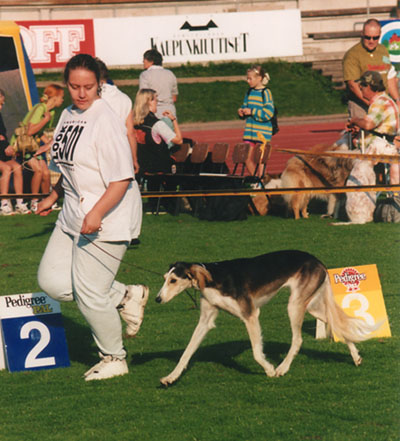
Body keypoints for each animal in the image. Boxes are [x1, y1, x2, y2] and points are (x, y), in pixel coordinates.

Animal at [155, 251, 380, 384]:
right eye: (165, 279)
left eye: (174, 280)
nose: (157, 299)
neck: (213, 278)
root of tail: (318, 261)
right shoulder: (205, 321)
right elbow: (187, 352)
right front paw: (171, 377)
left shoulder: (250, 315)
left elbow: (256, 352)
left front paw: (270, 370)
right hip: (311, 307)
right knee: (336, 325)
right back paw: (356, 357)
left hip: (295, 306)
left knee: (298, 340)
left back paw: (282, 368)